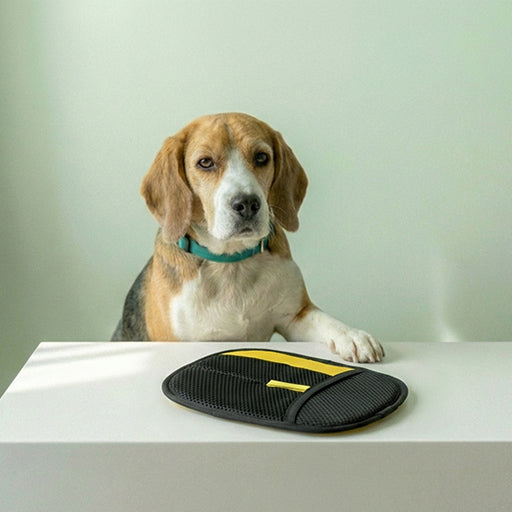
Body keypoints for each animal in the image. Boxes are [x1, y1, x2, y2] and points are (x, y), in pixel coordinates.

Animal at [112, 113, 384, 363]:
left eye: (262, 157)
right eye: (205, 162)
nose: (247, 204)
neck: (232, 263)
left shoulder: (295, 317)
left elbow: (325, 320)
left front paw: (352, 336)